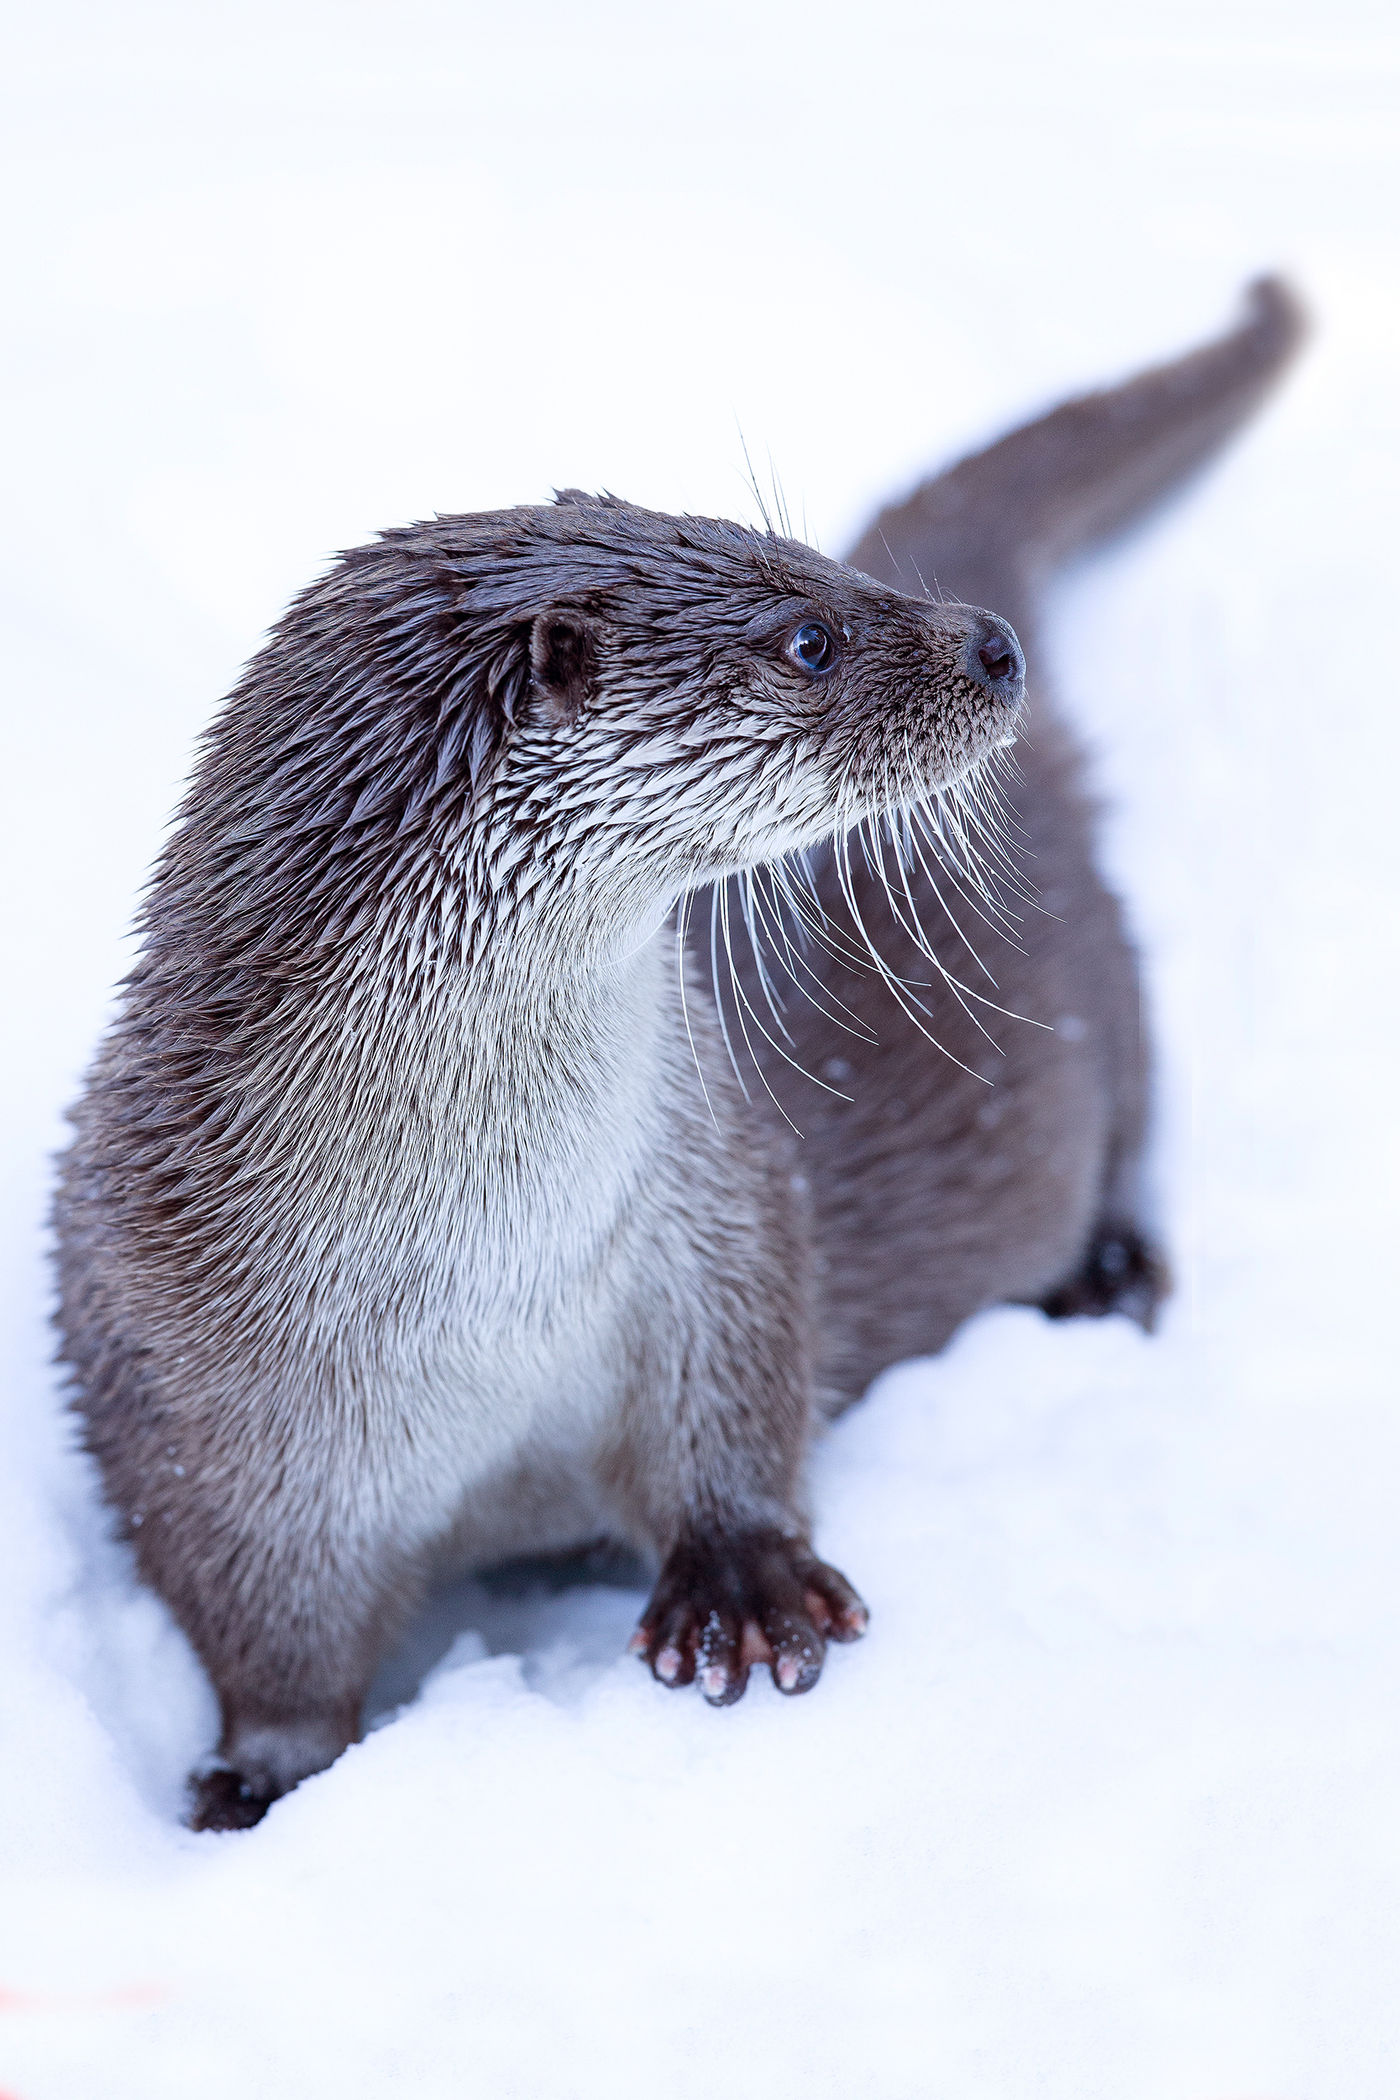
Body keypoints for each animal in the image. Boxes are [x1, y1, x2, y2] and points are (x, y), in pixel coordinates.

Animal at [51, 275, 1301, 1822]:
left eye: (814, 561)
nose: (989, 642)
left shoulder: (711, 1203)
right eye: (807, 641)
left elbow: (743, 1397)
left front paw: (743, 1587)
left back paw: (1109, 1275)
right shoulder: (183, 1389)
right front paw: (259, 1783)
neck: (481, 1271)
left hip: (1105, 967)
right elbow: (258, 1625)